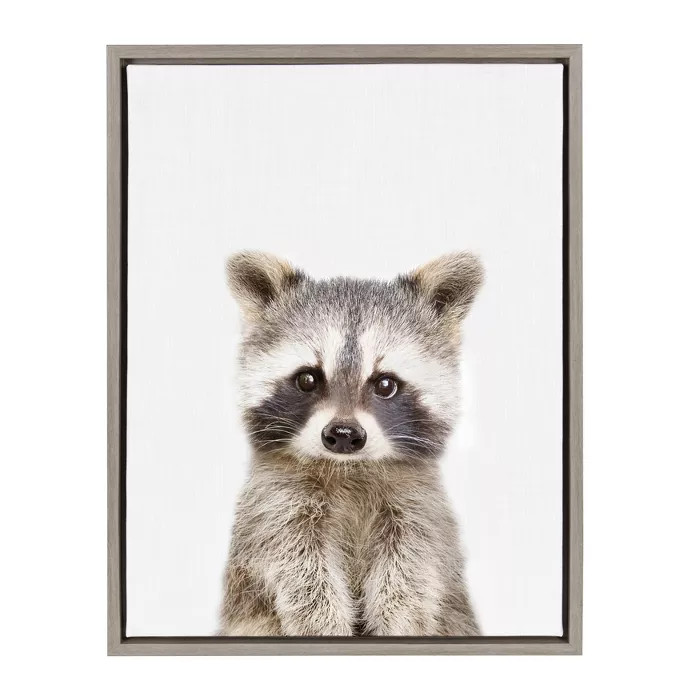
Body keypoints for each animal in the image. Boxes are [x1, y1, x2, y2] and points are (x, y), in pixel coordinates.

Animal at [219, 250, 483, 636]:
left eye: (385, 384)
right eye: (307, 379)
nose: (343, 435)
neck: (349, 469)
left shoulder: (418, 505)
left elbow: (411, 569)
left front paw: (397, 622)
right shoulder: (274, 503)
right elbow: (298, 567)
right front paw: (323, 624)